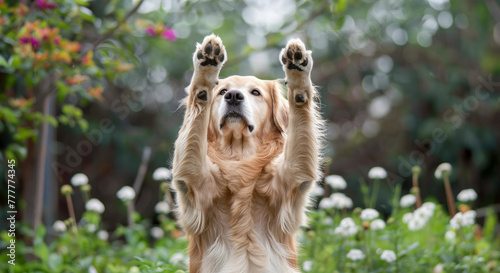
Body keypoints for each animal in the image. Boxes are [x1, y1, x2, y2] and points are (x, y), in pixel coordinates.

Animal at [171, 34, 320, 272]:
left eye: (256, 92)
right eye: (222, 91)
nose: (233, 96)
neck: (239, 154)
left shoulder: (294, 175)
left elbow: (300, 110)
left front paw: (297, 73)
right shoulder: (193, 178)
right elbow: (197, 104)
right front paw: (206, 69)